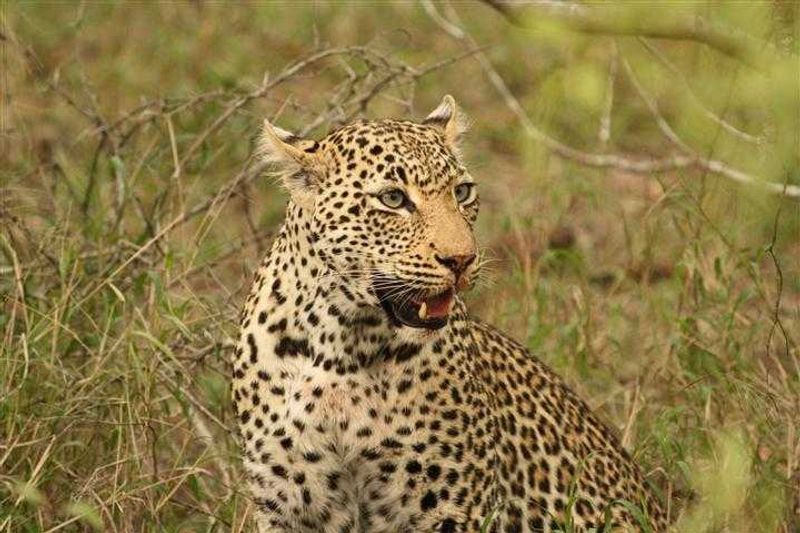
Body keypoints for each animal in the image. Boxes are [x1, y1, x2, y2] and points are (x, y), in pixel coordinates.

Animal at [231, 96, 667, 532]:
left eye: (462, 191)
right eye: (393, 199)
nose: (461, 260)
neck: (343, 347)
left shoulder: (451, 509)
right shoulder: (288, 503)